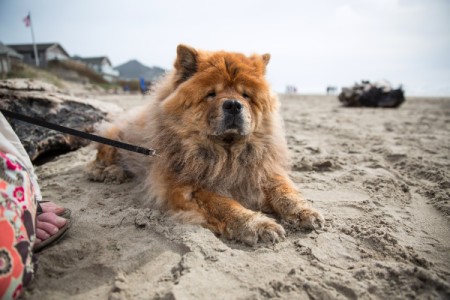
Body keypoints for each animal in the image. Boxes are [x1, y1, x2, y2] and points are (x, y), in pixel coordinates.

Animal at [87, 45, 324, 246]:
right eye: (211, 94)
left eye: (246, 95)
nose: (233, 104)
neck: (226, 153)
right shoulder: (187, 187)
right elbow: (225, 204)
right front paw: (259, 225)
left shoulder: (261, 170)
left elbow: (284, 190)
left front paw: (305, 212)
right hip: (115, 137)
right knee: (101, 155)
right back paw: (106, 172)